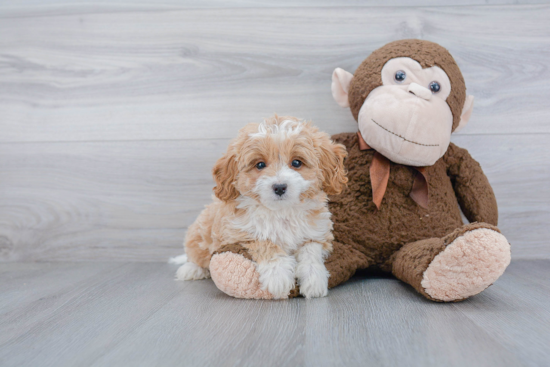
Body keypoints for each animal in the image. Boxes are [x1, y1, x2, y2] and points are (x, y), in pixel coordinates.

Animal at [172, 116, 348, 300]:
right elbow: (265, 243)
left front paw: (314, 280)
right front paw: (278, 276)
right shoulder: (240, 232)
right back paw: (191, 269)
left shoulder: (317, 233)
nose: (279, 187)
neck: (281, 211)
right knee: (195, 253)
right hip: (200, 230)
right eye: (260, 165)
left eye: (296, 162)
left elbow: (311, 251)